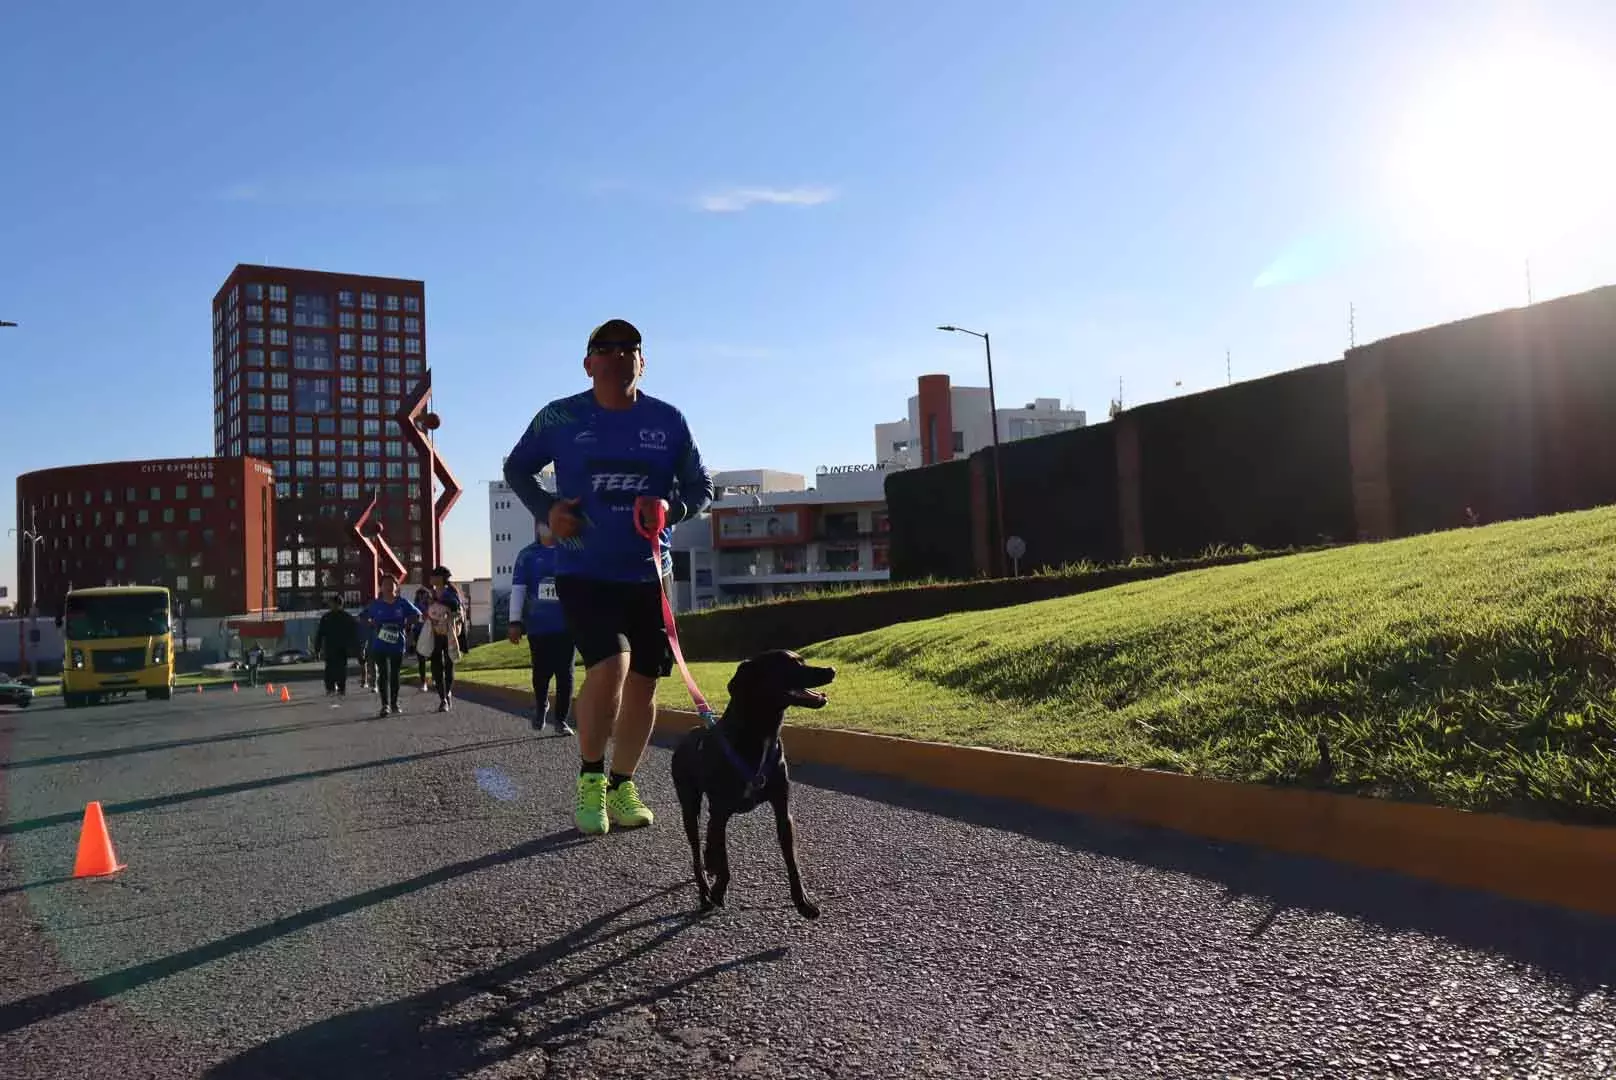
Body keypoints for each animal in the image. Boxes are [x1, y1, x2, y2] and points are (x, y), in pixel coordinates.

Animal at [675, 649, 840, 918]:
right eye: (791, 664)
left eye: (802, 659)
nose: (831, 670)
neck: (761, 735)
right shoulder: (721, 809)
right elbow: (725, 862)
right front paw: (718, 891)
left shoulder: (782, 809)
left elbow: (792, 860)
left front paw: (802, 901)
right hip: (689, 805)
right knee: (696, 852)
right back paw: (704, 893)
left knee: (709, 835)